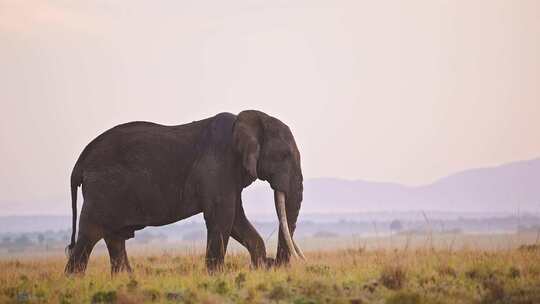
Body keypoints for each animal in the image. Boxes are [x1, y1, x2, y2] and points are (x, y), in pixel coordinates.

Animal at [64, 110, 304, 274]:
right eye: (284, 155)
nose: (274, 263)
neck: (244, 119)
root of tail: (79, 162)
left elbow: (236, 219)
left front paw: (258, 268)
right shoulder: (217, 165)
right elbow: (223, 217)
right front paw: (216, 276)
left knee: (114, 238)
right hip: (102, 189)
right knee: (90, 234)